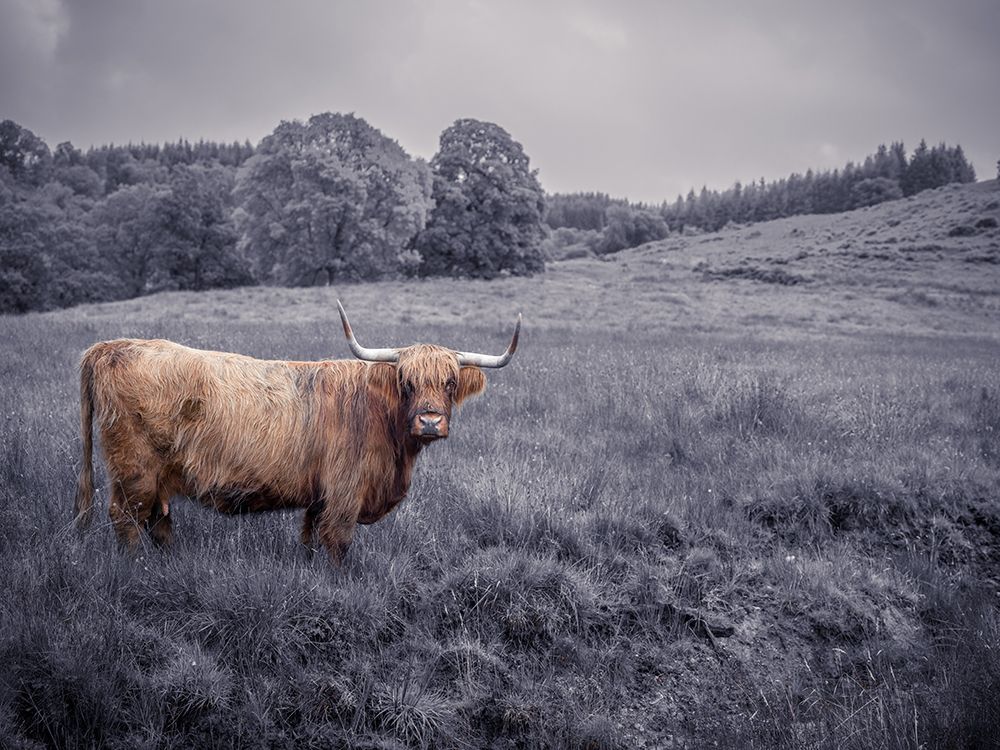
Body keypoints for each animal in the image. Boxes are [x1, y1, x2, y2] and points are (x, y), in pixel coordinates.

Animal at [74, 301, 519, 563]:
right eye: (406, 382)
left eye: (449, 382)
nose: (429, 421)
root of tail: (109, 346)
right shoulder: (344, 493)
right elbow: (337, 543)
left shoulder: (319, 495)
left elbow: (309, 537)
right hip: (134, 469)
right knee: (126, 518)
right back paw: (138, 567)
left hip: (158, 477)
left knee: (157, 519)